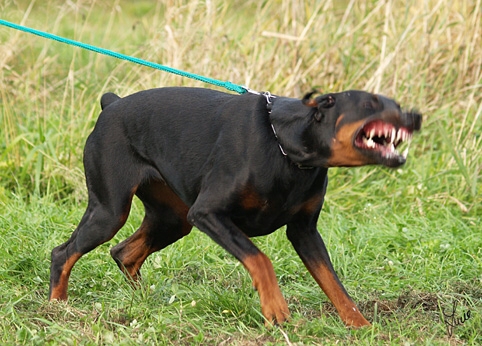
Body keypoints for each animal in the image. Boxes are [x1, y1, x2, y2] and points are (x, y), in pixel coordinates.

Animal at [50, 87, 422, 328]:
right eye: (371, 103)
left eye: (398, 103)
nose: (416, 116)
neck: (286, 148)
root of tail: (110, 105)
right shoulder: (208, 214)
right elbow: (260, 259)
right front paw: (275, 309)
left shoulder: (304, 231)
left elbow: (334, 284)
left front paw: (360, 326)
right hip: (110, 211)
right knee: (62, 253)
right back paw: (56, 308)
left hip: (172, 219)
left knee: (124, 253)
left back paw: (144, 300)